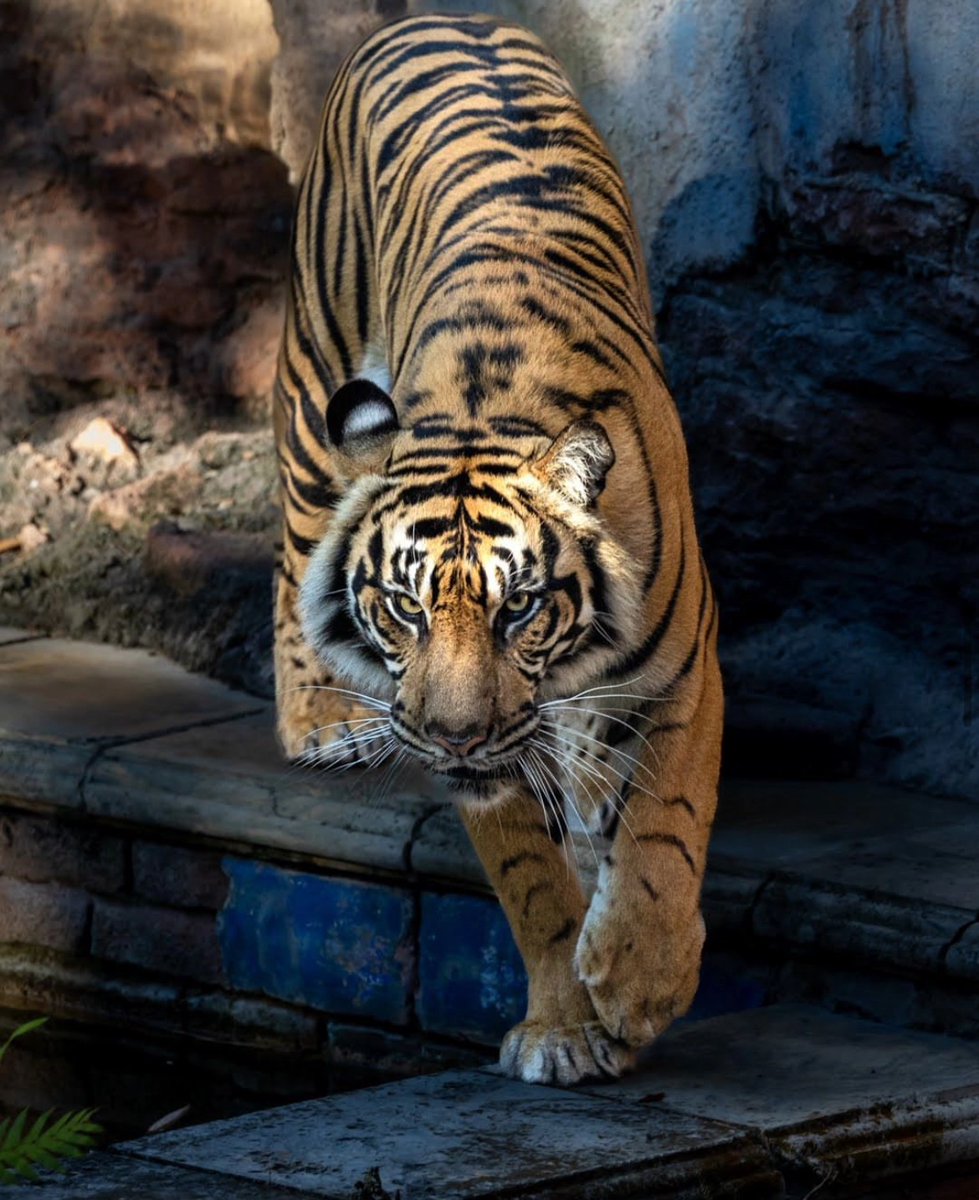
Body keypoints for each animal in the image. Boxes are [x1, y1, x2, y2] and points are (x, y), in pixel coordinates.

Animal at [273, 12, 722, 1086]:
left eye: (520, 607)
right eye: (403, 607)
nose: (452, 738)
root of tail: (435, 15)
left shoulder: (683, 668)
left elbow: (665, 825)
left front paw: (640, 983)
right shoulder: (484, 753)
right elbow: (532, 884)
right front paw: (566, 1028)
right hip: (314, 395)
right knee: (290, 555)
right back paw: (319, 721)